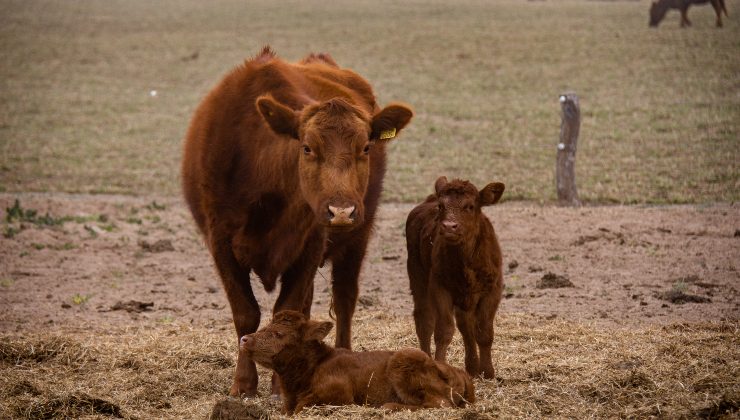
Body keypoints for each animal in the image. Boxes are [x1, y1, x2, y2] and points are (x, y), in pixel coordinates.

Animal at [179, 46, 410, 398]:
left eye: (366, 147)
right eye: (307, 147)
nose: (341, 211)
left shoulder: (310, 243)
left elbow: (286, 311)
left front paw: (278, 381)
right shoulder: (220, 243)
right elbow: (246, 313)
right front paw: (244, 384)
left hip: (359, 234)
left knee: (344, 299)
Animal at [240, 310, 476, 416]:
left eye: (278, 333)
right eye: (264, 327)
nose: (244, 339)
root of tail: (460, 372)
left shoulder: (339, 394)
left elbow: (301, 407)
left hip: (405, 361)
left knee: (440, 403)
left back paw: (389, 406)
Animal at [404, 176, 502, 378]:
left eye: (470, 206)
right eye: (441, 206)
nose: (449, 226)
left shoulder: (493, 289)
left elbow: (484, 331)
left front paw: (487, 371)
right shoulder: (440, 287)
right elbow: (444, 331)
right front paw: (441, 366)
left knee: (466, 325)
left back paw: (472, 367)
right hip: (418, 277)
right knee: (424, 320)